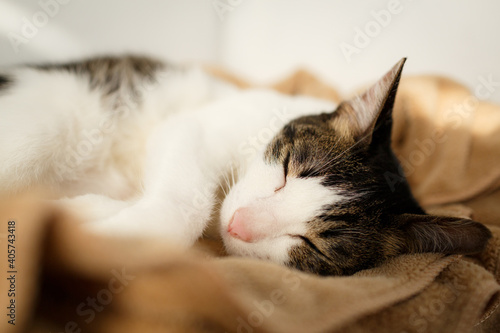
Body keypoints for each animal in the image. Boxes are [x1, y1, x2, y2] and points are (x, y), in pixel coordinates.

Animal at [0, 55, 492, 272]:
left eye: (311, 245)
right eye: (287, 169)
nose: (238, 225)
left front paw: (82, 214)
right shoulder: (191, 127)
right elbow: (186, 203)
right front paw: (113, 237)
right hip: (54, 115)